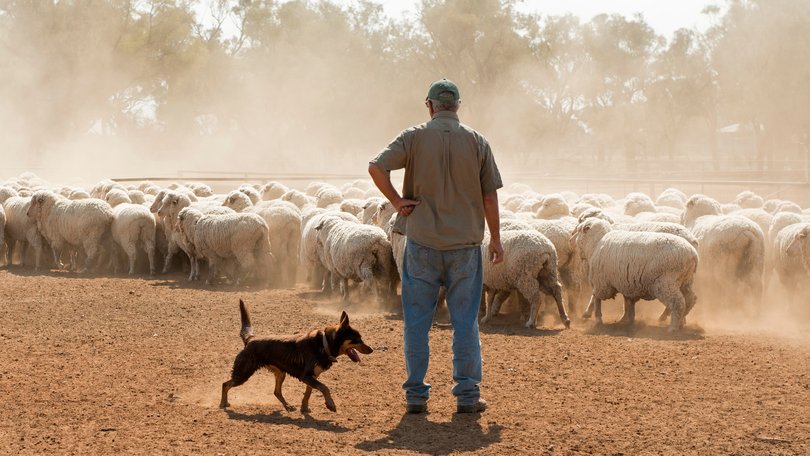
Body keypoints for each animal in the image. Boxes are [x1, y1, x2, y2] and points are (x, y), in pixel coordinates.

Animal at [219, 300, 374, 414]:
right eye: (357, 339)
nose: (371, 349)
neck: (323, 344)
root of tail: (250, 339)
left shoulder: (312, 377)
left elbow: (308, 393)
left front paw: (304, 408)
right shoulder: (306, 376)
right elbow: (324, 388)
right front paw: (330, 404)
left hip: (280, 374)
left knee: (276, 392)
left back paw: (288, 406)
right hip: (243, 373)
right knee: (225, 384)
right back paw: (223, 403)